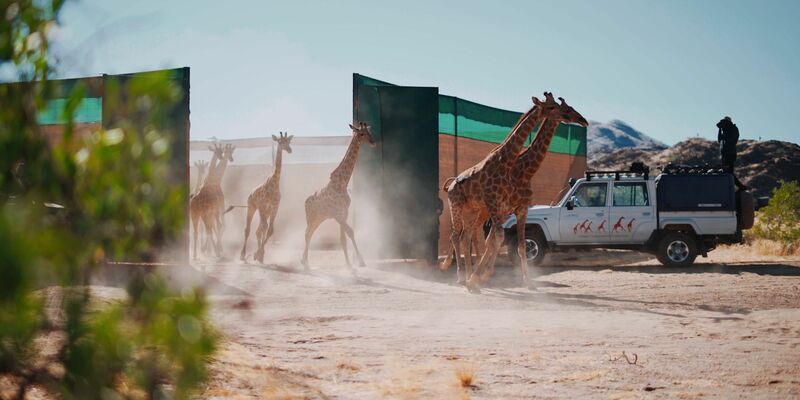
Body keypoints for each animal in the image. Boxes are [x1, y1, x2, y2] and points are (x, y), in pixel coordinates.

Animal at [240, 132, 293, 263]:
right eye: (280, 141)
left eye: (289, 142)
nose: (289, 150)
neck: (274, 183)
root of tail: (251, 193)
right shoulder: (262, 206)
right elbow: (265, 228)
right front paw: (257, 254)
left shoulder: (274, 208)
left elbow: (270, 230)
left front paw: (259, 254)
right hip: (252, 207)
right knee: (248, 229)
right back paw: (242, 255)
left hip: (265, 212)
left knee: (259, 230)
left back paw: (260, 255)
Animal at [300, 122, 375, 272]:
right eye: (361, 133)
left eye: (369, 132)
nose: (373, 142)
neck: (342, 183)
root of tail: (306, 202)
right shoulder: (337, 214)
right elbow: (350, 232)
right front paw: (360, 262)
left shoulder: (344, 213)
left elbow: (343, 239)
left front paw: (349, 265)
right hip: (311, 217)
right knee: (307, 233)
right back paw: (304, 263)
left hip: (319, 218)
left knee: (309, 233)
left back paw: (305, 262)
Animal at [456, 97, 588, 289]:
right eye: (566, 109)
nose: (584, 120)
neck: (524, 171)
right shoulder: (503, 206)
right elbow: (499, 240)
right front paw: (479, 277)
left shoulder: (520, 208)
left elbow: (519, 245)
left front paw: (527, 281)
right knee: (465, 235)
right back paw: (467, 276)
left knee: (470, 235)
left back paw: (472, 274)